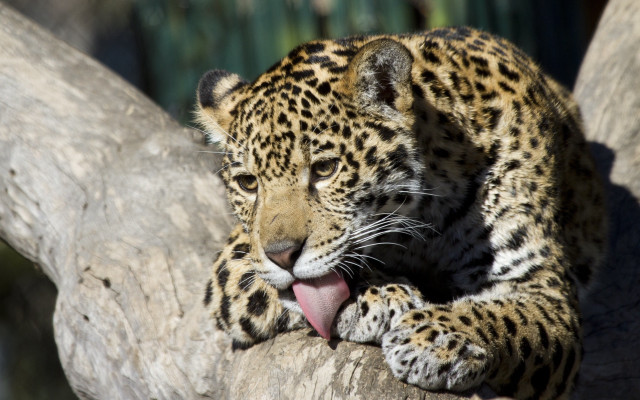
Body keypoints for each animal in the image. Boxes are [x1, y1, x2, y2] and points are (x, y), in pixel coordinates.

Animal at [195, 27, 606, 399]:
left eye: (325, 169)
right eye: (248, 183)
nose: (282, 256)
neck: (422, 224)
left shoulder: (545, 289)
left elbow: (508, 317)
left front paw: (437, 337)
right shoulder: (235, 261)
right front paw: (379, 296)